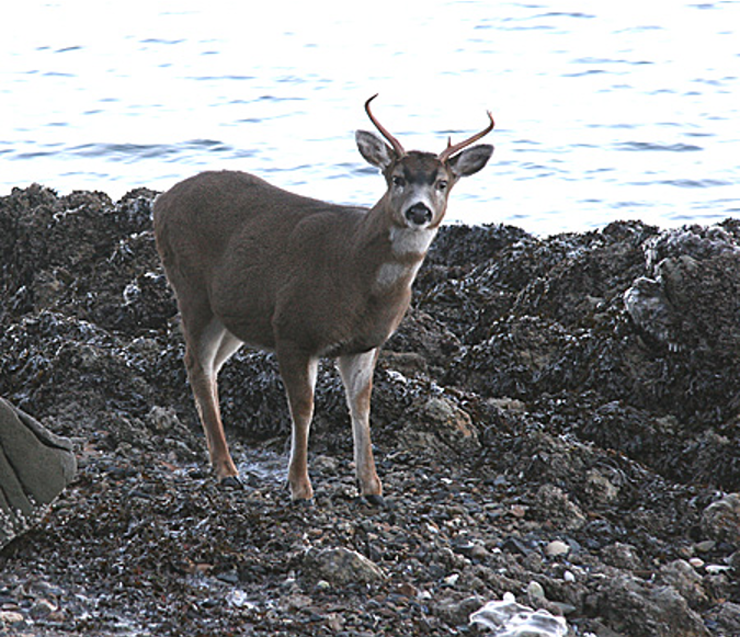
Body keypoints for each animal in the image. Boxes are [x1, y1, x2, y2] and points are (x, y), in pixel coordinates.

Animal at [153, 95, 494, 504]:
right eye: (396, 178)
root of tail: (161, 202)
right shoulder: (293, 330)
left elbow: (361, 407)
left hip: (233, 313)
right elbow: (303, 408)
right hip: (191, 288)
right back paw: (226, 469)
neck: (357, 274)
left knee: (210, 366)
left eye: (442, 183)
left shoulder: (365, 344)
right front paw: (300, 487)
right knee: (196, 363)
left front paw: (372, 487)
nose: (418, 210)